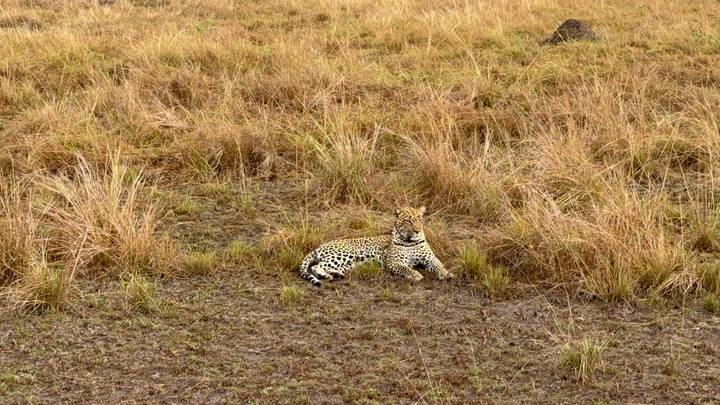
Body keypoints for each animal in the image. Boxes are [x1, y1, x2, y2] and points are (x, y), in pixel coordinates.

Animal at [297, 206, 454, 287]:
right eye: (408, 221)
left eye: (419, 219)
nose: (417, 230)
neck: (411, 242)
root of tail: (320, 246)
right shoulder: (393, 262)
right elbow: (406, 268)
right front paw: (416, 275)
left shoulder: (430, 258)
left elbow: (439, 265)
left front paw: (447, 274)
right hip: (343, 254)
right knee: (316, 266)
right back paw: (326, 276)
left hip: (350, 264)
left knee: (328, 267)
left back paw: (336, 274)